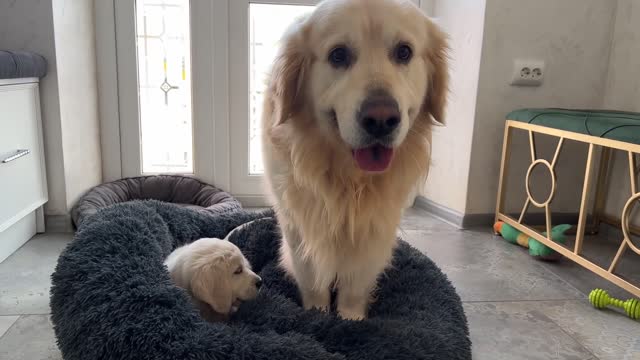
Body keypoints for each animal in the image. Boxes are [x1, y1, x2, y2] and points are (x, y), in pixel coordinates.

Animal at [258, 0, 444, 320]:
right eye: (338, 55)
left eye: (404, 52)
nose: (381, 120)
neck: (350, 180)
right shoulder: (298, 225)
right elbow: (313, 279)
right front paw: (318, 317)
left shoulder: (376, 229)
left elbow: (356, 284)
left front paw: (351, 320)